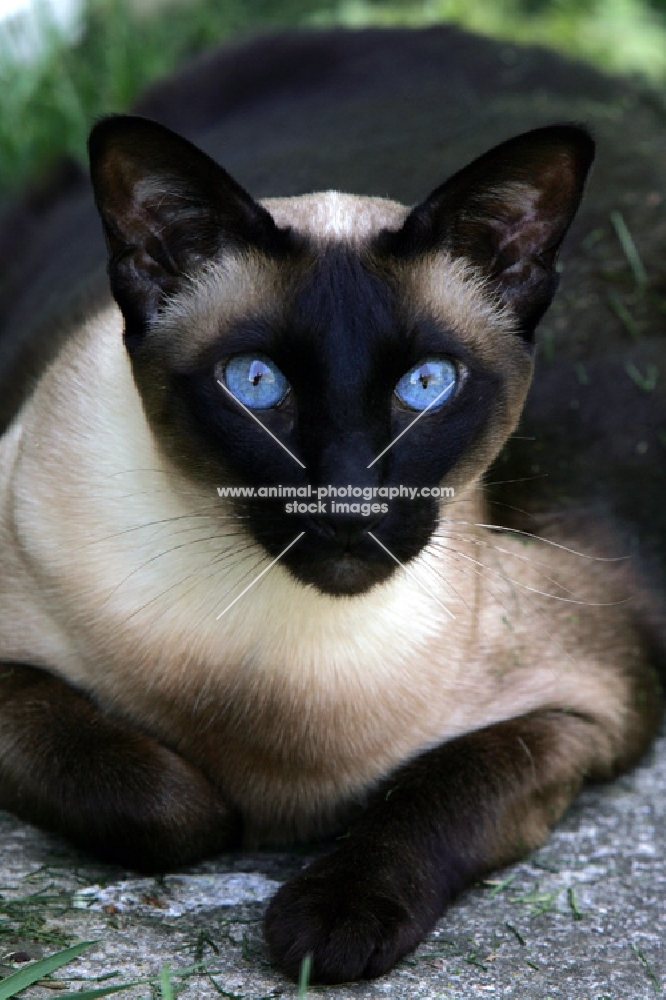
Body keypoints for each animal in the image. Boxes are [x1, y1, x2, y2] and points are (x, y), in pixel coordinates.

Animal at [1, 27, 664, 988]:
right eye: (255, 383)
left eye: (427, 386)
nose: (350, 508)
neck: (274, 687)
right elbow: (168, 805)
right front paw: (227, 817)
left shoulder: (592, 705)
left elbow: (437, 786)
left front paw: (335, 922)